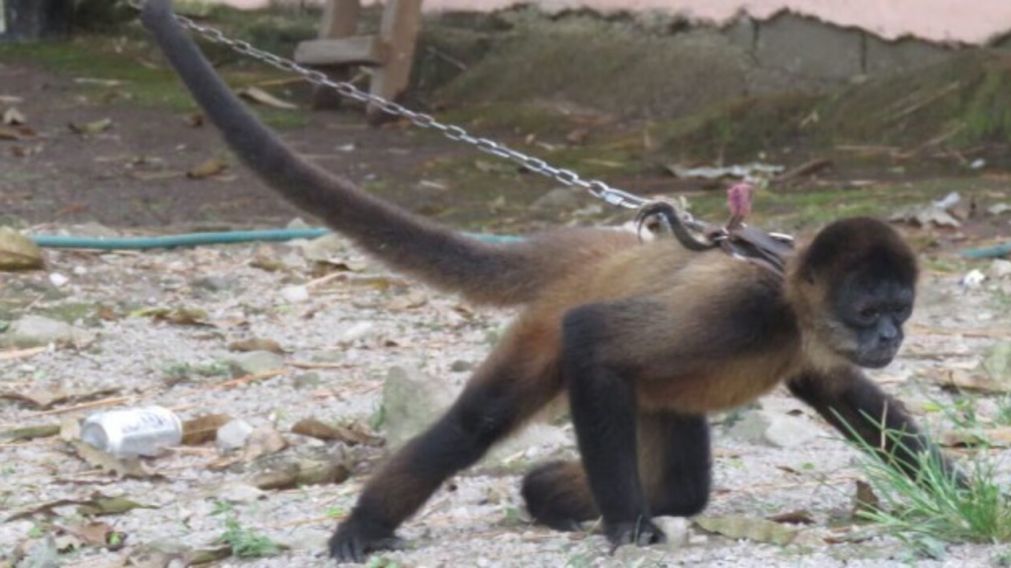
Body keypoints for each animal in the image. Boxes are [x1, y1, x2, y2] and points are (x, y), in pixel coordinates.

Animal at [140, 1, 960, 563]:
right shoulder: (742, 308)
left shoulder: (807, 345)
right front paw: (624, 525)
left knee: (679, 482)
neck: (790, 301)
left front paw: (963, 491)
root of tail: (588, 253)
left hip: (659, 394)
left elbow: (849, 398)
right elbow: (592, 337)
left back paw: (548, 496)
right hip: (549, 333)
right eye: (869, 310)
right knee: (483, 419)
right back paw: (370, 526)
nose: (890, 336)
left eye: (900, 309)